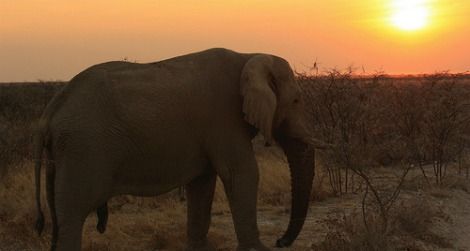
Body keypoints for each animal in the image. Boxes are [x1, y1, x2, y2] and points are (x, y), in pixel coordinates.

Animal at [33, 48, 320, 250]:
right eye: (296, 100)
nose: (280, 242)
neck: (249, 55)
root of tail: (49, 115)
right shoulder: (224, 118)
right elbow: (242, 173)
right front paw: (258, 249)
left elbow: (202, 184)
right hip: (82, 149)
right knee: (72, 218)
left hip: (67, 152)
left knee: (60, 221)